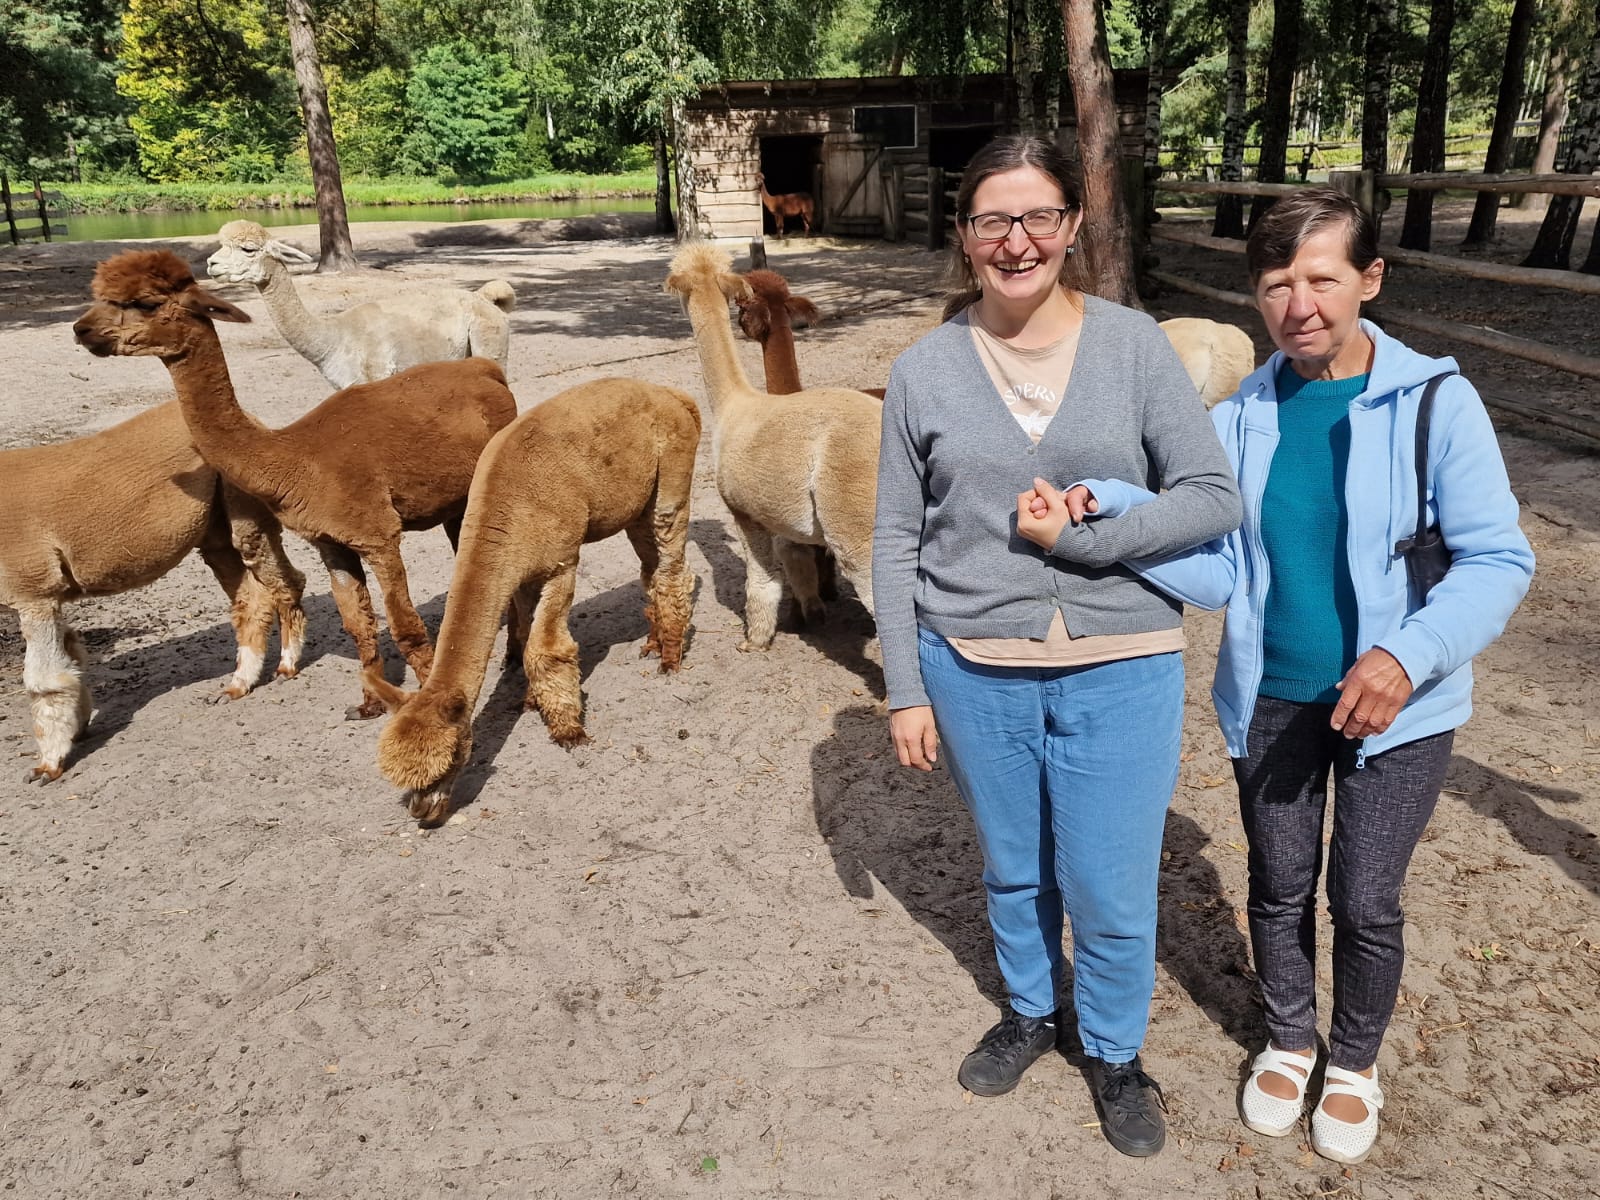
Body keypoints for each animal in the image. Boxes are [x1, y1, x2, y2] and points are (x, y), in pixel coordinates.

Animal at [2, 402, 307, 782]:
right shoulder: (52, 593)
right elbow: (72, 654)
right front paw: (78, 729)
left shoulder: (34, 588)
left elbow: (44, 679)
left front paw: (48, 766)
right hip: (214, 527)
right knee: (253, 597)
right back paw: (238, 685)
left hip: (242, 507)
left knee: (285, 580)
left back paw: (287, 666)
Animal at [72, 249, 518, 719]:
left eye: (145, 303)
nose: (81, 329)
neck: (294, 457)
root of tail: (484, 369)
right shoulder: (331, 540)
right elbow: (357, 623)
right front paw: (369, 703)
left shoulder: (377, 534)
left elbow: (405, 625)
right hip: (454, 499)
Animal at [205, 220, 516, 389]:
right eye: (220, 246)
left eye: (248, 249)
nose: (211, 264)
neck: (335, 337)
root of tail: (484, 297)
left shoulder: (377, 373)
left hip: (489, 343)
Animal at [365, 378, 702, 828]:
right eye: (402, 783)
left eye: (449, 761)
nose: (423, 814)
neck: (509, 504)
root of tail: (672, 394)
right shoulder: (519, 570)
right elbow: (523, 637)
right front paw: (529, 701)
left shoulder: (560, 562)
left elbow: (547, 650)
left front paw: (568, 731)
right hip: (636, 498)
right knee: (651, 569)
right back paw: (653, 643)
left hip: (673, 473)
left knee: (673, 568)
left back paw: (671, 657)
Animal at [665, 242, 880, 649]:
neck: (733, 406)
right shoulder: (778, 515)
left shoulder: (744, 510)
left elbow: (762, 580)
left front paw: (755, 639)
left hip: (856, 521)